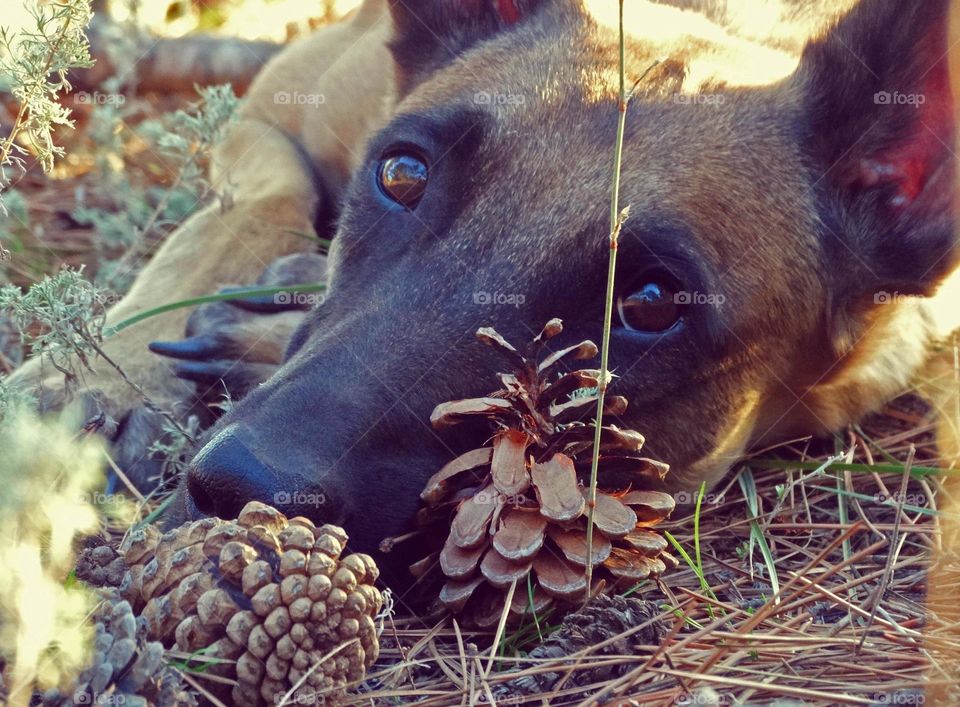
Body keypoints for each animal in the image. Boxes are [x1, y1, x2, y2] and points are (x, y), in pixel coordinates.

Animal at [9, 1, 960, 588]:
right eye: (400, 173)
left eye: (650, 303)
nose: (236, 490)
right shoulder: (274, 110)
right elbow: (240, 215)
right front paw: (93, 377)